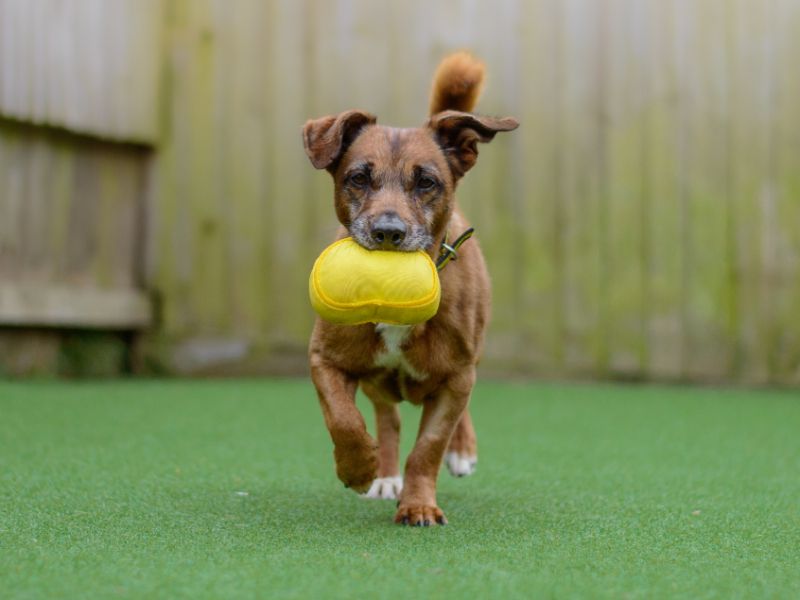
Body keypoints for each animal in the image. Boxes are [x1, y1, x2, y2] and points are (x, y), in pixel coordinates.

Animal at [302, 54, 520, 528]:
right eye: (358, 178)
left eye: (426, 182)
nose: (388, 231)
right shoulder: (325, 360)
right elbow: (343, 419)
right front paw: (359, 467)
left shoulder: (457, 377)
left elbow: (429, 448)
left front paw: (419, 503)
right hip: (377, 381)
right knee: (387, 417)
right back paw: (384, 474)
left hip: (472, 356)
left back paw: (461, 451)